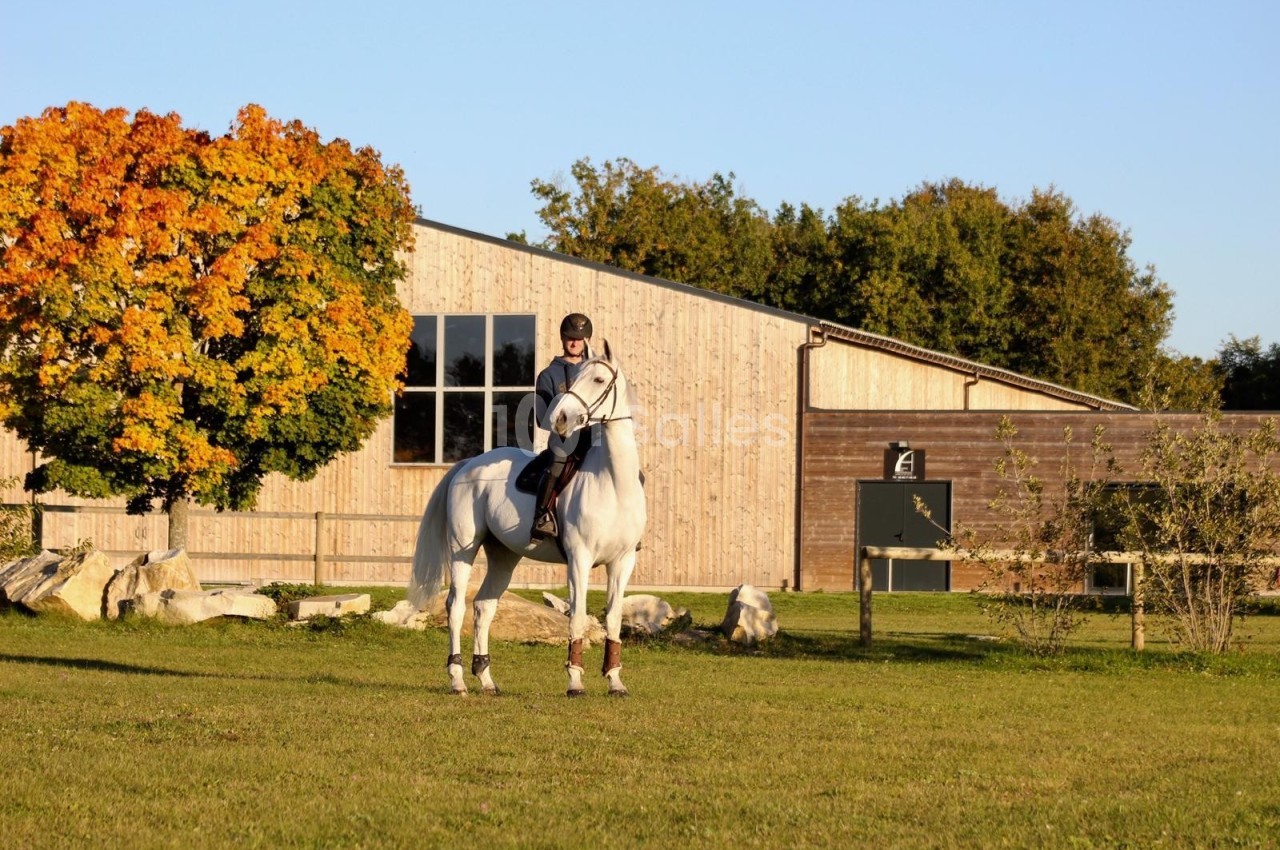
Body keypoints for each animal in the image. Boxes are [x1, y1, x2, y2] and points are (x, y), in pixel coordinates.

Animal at [408, 340, 646, 696]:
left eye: (599, 380)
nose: (561, 418)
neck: (613, 483)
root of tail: (467, 464)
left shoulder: (623, 561)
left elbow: (614, 619)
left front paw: (615, 681)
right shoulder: (579, 559)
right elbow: (577, 616)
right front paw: (575, 681)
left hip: (504, 556)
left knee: (484, 606)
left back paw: (486, 679)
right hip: (463, 548)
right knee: (456, 606)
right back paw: (458, 680)